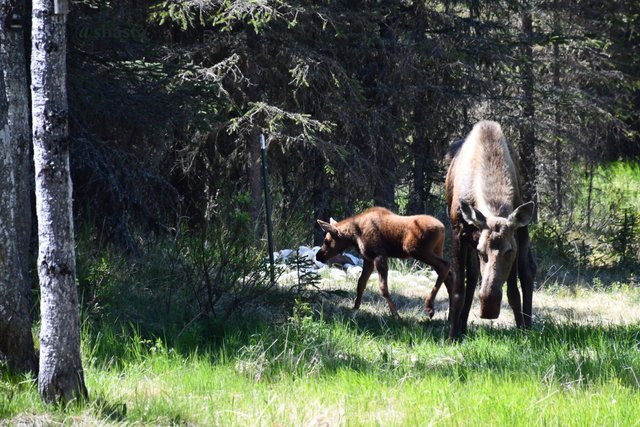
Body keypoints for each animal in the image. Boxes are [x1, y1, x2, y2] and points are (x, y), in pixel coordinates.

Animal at [428, 121, 536, 342]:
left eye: (509, 251)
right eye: (481, 251)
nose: (489, 308)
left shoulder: (514, 235)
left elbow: (514, 291)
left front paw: (521, 331)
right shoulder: (459, 234)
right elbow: (459, 289)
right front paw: (452, 335)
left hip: (523, 231)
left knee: (528, 270)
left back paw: (527, 327)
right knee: (471, 279)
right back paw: (461, 326)